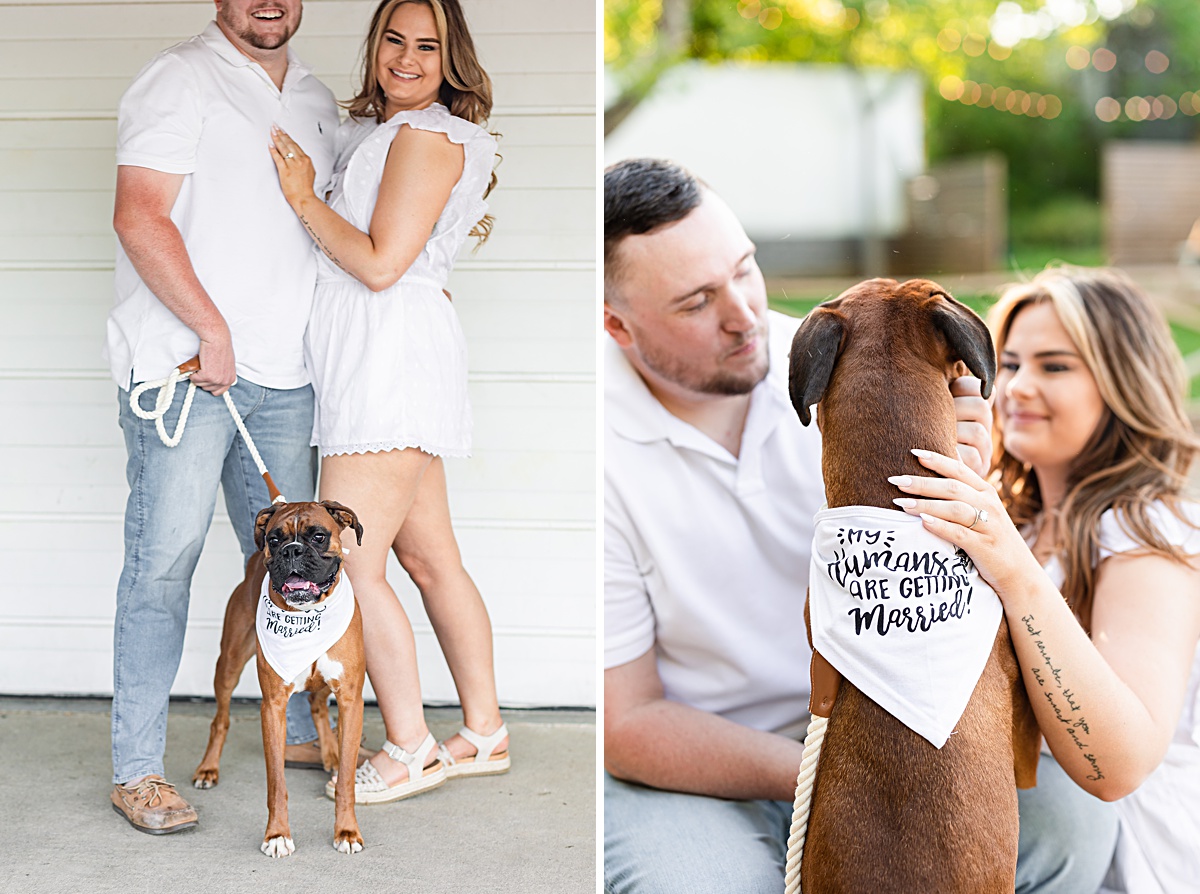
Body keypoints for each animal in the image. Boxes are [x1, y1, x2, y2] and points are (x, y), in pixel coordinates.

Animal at [189, 499, 367, 854]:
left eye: (318, 536)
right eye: (274, 539)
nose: (292, 550)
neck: (308, 617)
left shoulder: (351, 700)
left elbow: (346, 780)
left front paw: (346, 831)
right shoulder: (272, 707)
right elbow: (276, 782)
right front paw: (277, 834)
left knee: (317, 706)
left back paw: (329, 753)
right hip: (228, 665)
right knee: (220, 720)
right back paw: (208, 769)